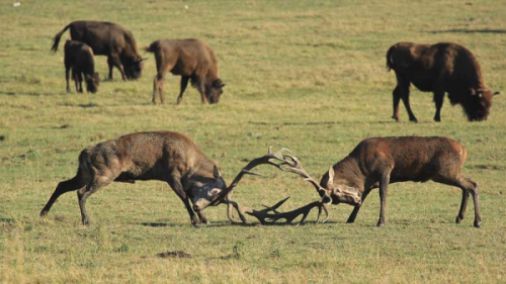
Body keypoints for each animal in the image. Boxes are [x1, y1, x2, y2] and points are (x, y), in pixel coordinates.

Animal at [39, 131, 227, 226]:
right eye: (215, 193)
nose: (201, 211)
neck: (191, 161)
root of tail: (84, 152)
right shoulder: (171, 175)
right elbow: (184, 197)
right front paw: (195, 220)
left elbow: (188, 196)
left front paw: (204, 219)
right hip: (103, 175)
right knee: (81, 192)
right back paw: (86, 220)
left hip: (83, 174)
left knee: (62, 185)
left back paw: (43, 213)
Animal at [318, 136, 480, 227]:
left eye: (336, 193)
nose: (335, 203)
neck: (361, 170)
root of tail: (464, 151)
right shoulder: (369, 183)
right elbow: (363, 197)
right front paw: (350, 219)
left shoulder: (385, 169)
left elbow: (383, 195)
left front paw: (381, 221)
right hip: (449, 172)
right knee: (466, 186)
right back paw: (459, 217)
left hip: (444, 172)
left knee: (472, 185)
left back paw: (477, 221)